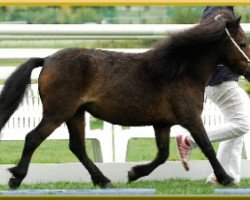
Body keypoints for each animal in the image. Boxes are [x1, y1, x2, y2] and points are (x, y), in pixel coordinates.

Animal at [0, 8, 250, 189]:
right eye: (243, 43)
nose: (249, 71)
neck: (181, 70)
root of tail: (47, 59)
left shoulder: (162, 124)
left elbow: (162, 154)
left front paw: (133, 173)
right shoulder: (190, 118)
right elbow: (207, 146)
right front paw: (226, 178)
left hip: (75, 114)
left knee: (77, 147)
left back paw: (103, 180)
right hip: (58, 113)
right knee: (33, 138)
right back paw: (16, 178)